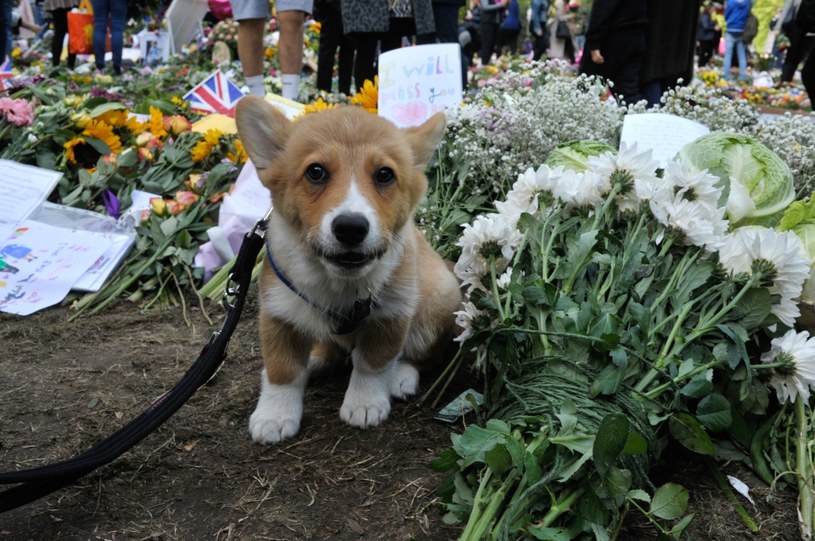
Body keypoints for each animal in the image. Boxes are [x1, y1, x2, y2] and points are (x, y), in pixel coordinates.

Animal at [237, 97, 466, 442]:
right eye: (316, 172)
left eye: (384, 174)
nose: (350, 228)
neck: (338, 283)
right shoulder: (278, 313)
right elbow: (282, 369)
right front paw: (274, 416)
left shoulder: (392, 314)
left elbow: (372, 362)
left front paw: (365, 404)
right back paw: (316, 359)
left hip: (439, 300)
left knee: (424, 355)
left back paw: (401, 375)